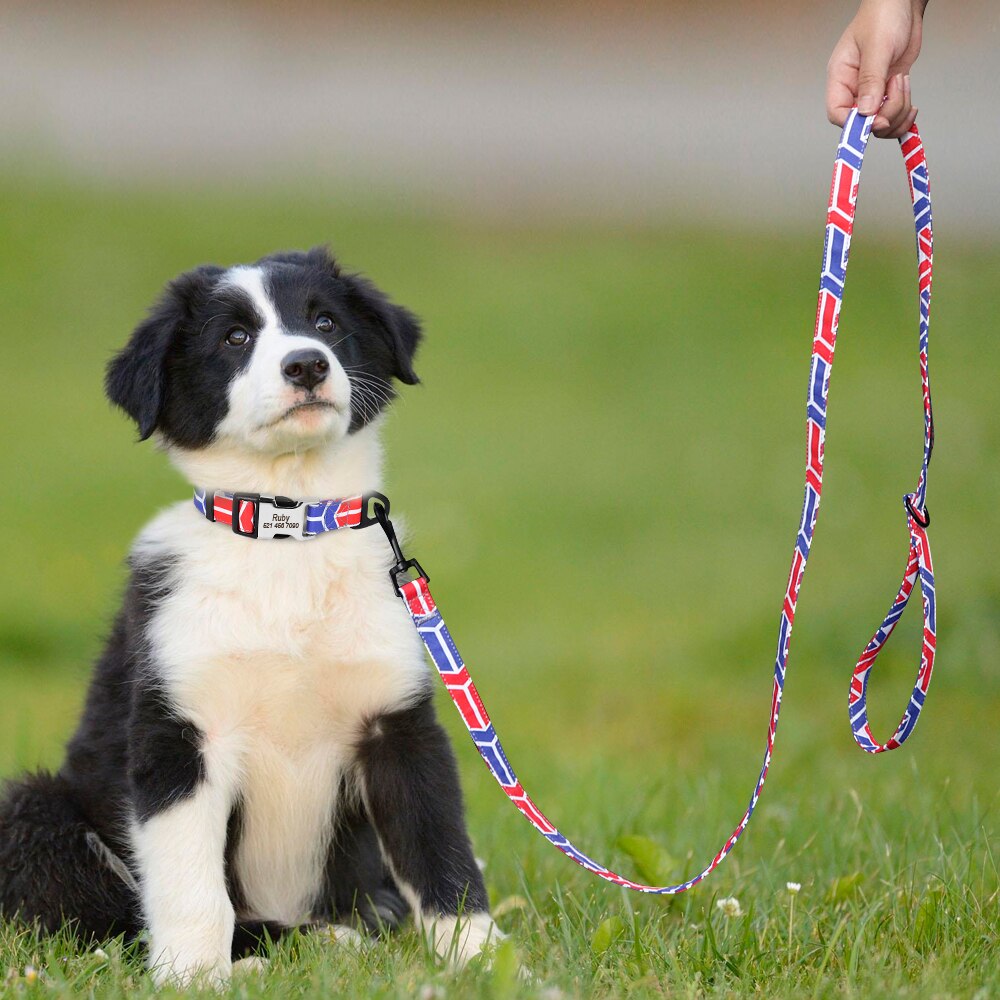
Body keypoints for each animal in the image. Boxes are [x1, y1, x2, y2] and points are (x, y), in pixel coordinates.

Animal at [0, 248, 500, 984]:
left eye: (325, 321)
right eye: (234, 338)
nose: (308, 365)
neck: (286, 535)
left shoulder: (397, 724)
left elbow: (441, 849)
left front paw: (486, 960)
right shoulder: (179, 735)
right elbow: (190, 882)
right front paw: (192, 978)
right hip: (33, 810)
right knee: (107, 914)